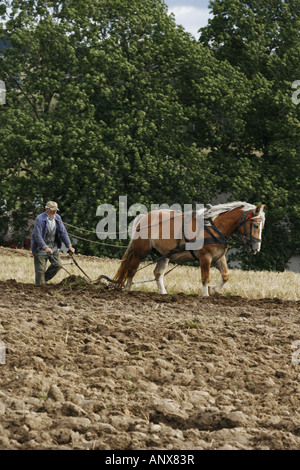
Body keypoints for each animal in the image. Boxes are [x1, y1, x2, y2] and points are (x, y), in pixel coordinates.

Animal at [113, 202, 266, 298]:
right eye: (256, 226)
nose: (256, 248)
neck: (215, 228)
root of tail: (144, 217)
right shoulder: (205, 257)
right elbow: (205, 277)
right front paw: (205, 295)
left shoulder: (218, 257)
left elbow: (225, 275)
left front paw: (213, 290)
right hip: (140, 252)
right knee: (132, 270)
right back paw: (128, 291)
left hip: (164, 254)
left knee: (157, 274)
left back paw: (163, 294)